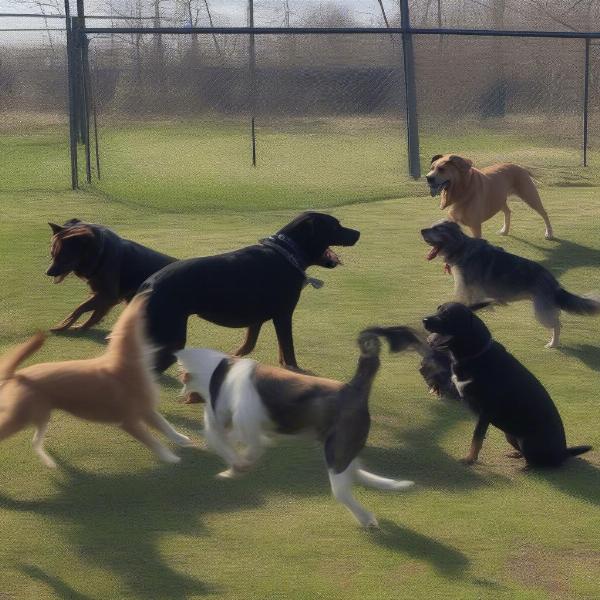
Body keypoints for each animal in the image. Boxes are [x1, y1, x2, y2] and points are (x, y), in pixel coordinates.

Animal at [0, 296, 193, 468]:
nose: (178, 342)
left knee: (35, 441)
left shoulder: (146, 410)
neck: (124, 364)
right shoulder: (130, 422)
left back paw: (49, 462)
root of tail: (16, 375)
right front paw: (170, 457)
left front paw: (182, 439)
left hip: (41, 415)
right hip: (21, 417)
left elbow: (167, 427)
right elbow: (153, 441)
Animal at [138, 210, 358, 370]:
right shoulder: (283, 315)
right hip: (171, 338)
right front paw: (295, 371)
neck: (287, 252)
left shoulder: (257, 320)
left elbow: (250, 346)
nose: (358, 233)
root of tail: (148, 284)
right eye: (336, 225)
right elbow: (288, 351)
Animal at [176, 326, 414, 528]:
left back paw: (366, 518)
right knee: (355, 470)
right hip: (341, 448)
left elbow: (240, 445)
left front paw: (239, 465)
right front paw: (235, 467)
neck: (219, 373)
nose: (180, 396)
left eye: (183, 381)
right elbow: (233, 443)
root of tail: (353, 387)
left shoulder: (245, 425)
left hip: (336, 451)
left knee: (343, 490)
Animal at [420, 302, 592, 466]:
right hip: (510, 435)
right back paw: (517, 455)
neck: (475, 355)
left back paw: (527, 466)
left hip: (528, 442)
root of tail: (564, 452)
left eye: (447, 315)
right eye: (438, 309)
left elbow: (477, 438)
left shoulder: (486, 411)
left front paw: (470, 459)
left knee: (542, 463)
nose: (424, 320)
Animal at [422, 221, 600, 346]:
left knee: (557, 325)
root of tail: (553, 281)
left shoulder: (466, 294)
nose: (421, 230)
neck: (461, 248)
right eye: (432, 226)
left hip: (541, 312)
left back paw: (553, 344)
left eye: (438, 228)